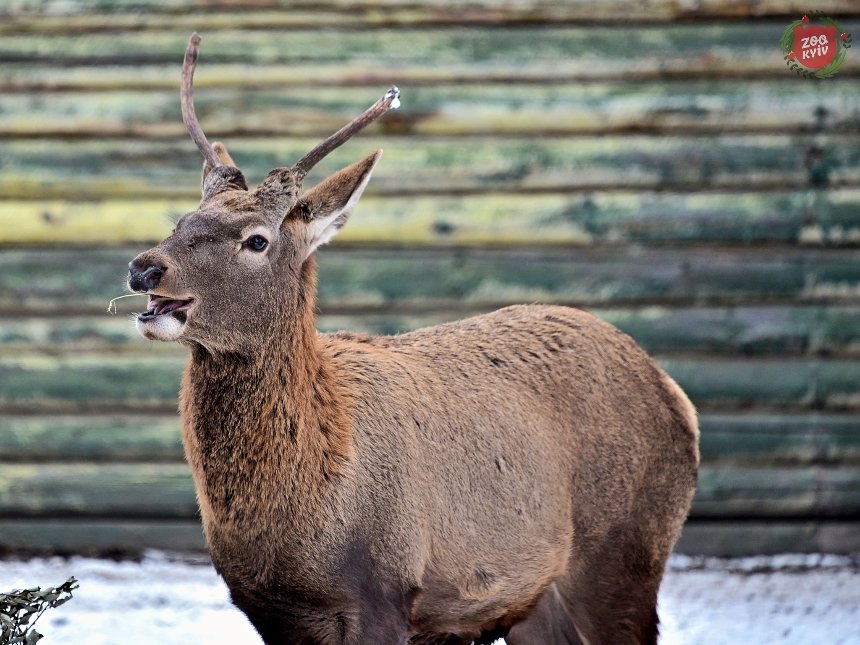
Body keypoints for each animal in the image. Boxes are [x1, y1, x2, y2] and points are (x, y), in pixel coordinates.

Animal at [124, 34, 700, 644]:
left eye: (256, 240)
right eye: (181, 221)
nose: (144, 268)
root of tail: (675, 395)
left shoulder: (384, 593)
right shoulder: (268, 611)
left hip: (626, 552)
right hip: (537, 595)